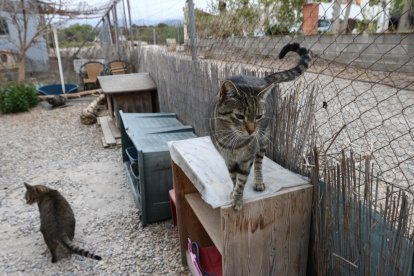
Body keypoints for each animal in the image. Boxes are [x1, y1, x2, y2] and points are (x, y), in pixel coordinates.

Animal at [210, 42, 310, 211]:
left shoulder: (246, 159)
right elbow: (233, 177)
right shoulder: (228, 160)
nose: (251, 131)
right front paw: (233, 192)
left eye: (258, 116)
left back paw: (258, 181)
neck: (233, 142)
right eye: (239, 116)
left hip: (263, 139)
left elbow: (241, 180)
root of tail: (262, 79)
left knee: (259, 163)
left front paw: (238, 198)